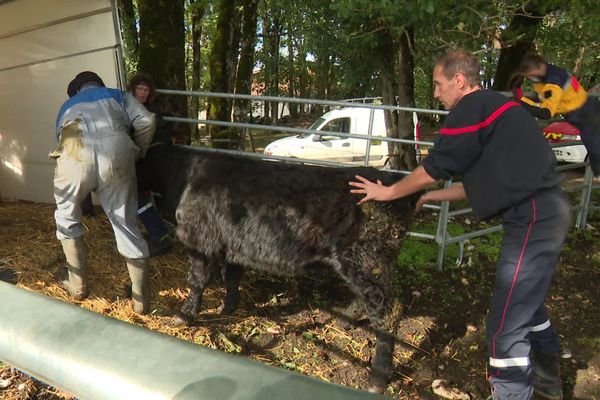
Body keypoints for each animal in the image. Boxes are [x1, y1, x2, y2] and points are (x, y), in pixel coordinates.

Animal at [149, 143, 422, 390]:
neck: (187, 176)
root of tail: (392, 180)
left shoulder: (200, 242)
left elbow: (197, 281)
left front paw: (184, 315)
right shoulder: (233, 245)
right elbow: (232, 277)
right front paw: (228, 306)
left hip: (367, 260)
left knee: (388, 312)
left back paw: (378, 377)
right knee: (367, 298)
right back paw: (346, 321)